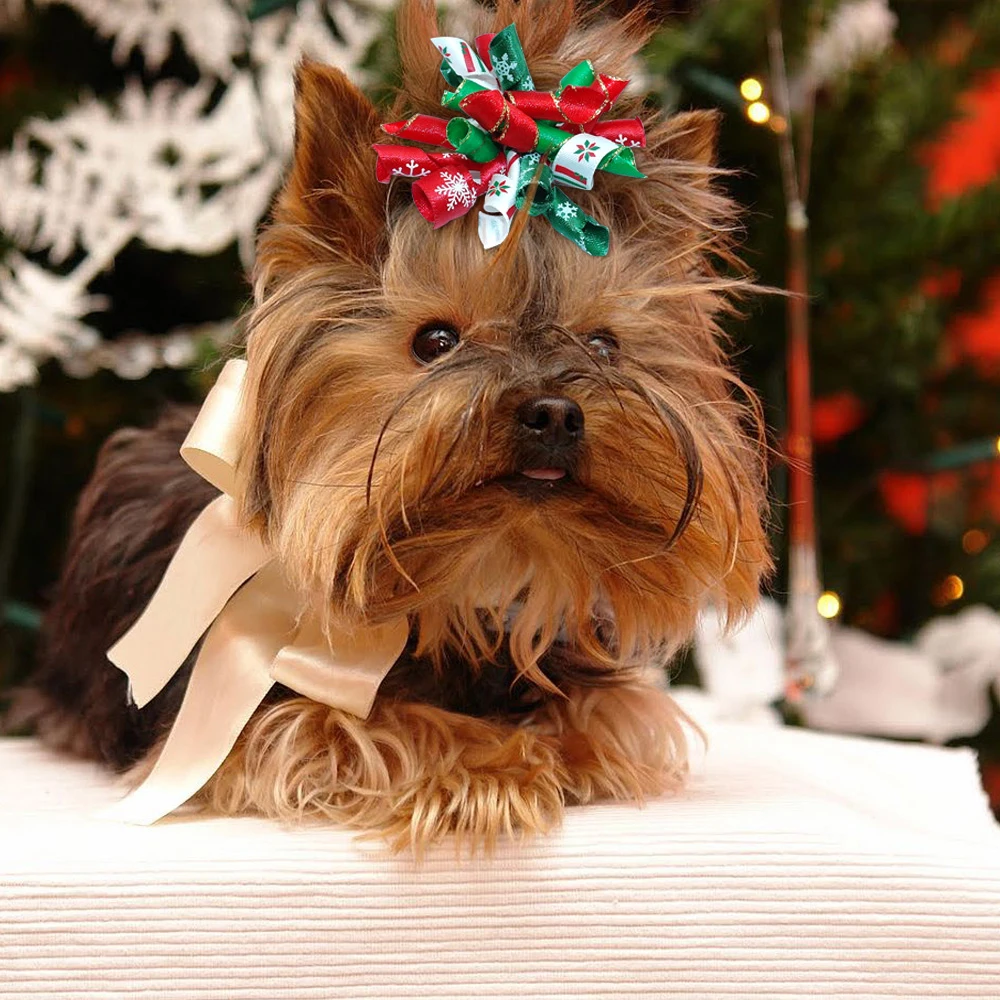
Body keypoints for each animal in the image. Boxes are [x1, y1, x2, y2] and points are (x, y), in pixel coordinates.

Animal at [11, 0, 768, 856]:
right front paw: (495, 761)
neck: (468, 577)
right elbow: (359, 725)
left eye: (603, 345)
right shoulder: (267, 720)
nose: (554, 410)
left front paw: (559, 738)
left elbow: (619, 709)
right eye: (435, 341)